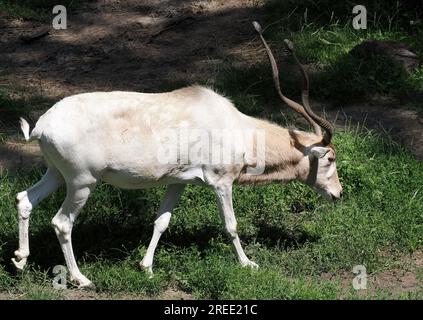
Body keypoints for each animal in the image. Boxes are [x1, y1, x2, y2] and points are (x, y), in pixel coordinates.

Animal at [13, 22, 342, 288]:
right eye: (330, 158)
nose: (338, 194)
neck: (235, 127)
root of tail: (42, 126)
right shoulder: (221, 182)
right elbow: (231, 225)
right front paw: (248, 264)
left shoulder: (177, 182)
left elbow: (161, 221)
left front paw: (146, 267)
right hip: (82, 182)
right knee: (62, 222)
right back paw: (80, 279)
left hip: (56, 174)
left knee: (25, 199)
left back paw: (20, 260)